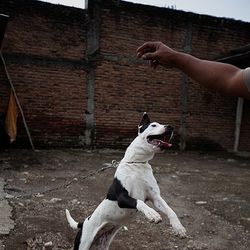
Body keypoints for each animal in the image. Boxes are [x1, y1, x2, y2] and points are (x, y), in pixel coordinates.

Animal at [65, 114, 187, 250]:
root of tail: (84, 222)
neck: (137, 164)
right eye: (153, 125)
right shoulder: (122, 198)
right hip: (83, 244)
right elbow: (138, 201)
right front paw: (151, 213)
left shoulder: (155, 197)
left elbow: (170, 210)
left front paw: (178, 228)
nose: (170, 127)